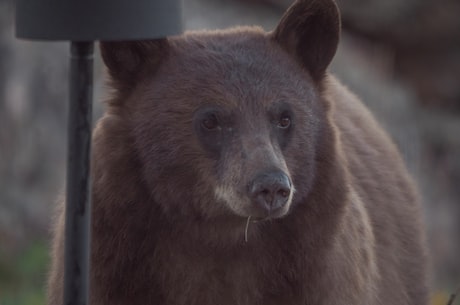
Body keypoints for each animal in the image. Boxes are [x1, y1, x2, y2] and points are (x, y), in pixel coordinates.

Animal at [46, 0, 428, 304]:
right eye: (211, 120)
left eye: (285, 117)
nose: (272, 187)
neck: (223, 240)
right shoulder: (111, 262)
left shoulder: (319, 273)